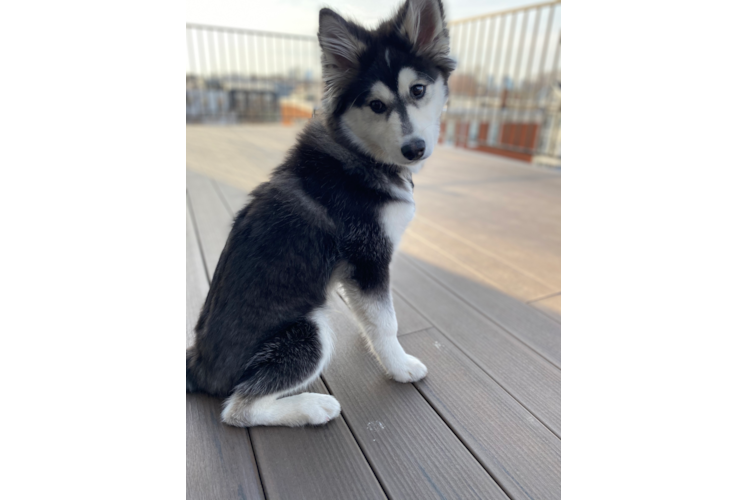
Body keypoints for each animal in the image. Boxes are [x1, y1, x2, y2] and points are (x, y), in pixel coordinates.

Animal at [187, 0, 456, 428]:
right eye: (376, 105)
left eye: (418, 90)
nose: (414, 149)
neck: (361, 153)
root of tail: (198, 365)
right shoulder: (368, 257)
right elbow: (386, 321)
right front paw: (398, 365)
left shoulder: (358, 271)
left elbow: (374, 316)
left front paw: (376, 344)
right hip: (308, 330)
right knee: (238, 409)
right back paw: (312, 407)